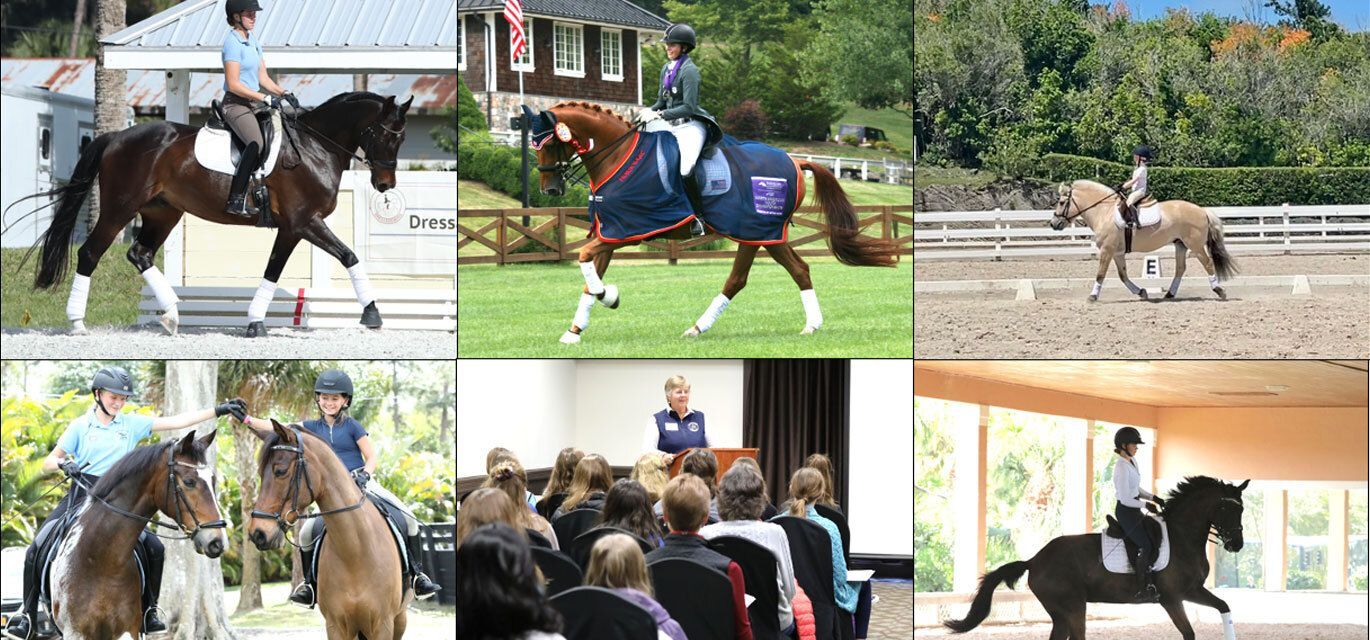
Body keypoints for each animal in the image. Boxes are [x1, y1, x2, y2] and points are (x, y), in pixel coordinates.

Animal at [24, 91, 412, 337]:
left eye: (402, 139)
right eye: (385, 136)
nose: (385, 184)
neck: (315, 147)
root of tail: (117, 136)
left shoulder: (292, 228)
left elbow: (274, 272)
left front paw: (255, 322)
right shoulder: (304, 222)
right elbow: (348, 256)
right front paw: (372, 313)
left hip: (163, 213)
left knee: (140, 254)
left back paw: (172, 316)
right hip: (120, 209)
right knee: (90, 253)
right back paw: (77, 323)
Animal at [247, 420, 411, 640]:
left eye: (280, 471)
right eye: (259, 473)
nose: (258, 533)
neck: (355, 550)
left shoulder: (383, 625)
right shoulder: (336, 626)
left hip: (399, 619)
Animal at [523, 101, 902, 344]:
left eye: (550, 144)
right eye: (534, 145)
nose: (550, 189)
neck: (618, 155)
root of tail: (796, 160)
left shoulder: (630, 230)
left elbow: (585, 260)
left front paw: (610, 297)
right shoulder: (613, 230)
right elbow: (589, 276)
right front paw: (574, 332)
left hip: (760, 231)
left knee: (769, 275)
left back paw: (804, 325)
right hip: (760, 235)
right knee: (771, 274)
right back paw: (703, 328)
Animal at [943, 476, 1250, 640]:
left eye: (1242, 509)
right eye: (1226, 508)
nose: (1236, 544)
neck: (1181, 535)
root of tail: (1035, 560)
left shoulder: (1193, 591)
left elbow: (1224, 607)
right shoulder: (1172, 598)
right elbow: (1189, 633)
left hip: (1061, 613)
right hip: (1072, 606)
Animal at [1048, 180, 1238, 301]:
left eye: (1062, 202)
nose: (1053, 223)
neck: (1104, 212)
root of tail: (1202, 210)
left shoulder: (1107, 250)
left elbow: (1101, 274)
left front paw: (1092, 296)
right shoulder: (1117, 253)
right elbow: (1123, 275)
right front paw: (1141, 292)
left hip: (1196, 245)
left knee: (1208, 264)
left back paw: (1219, 291)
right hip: (1180, 245)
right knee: (1180, 269)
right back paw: (1169, 294)